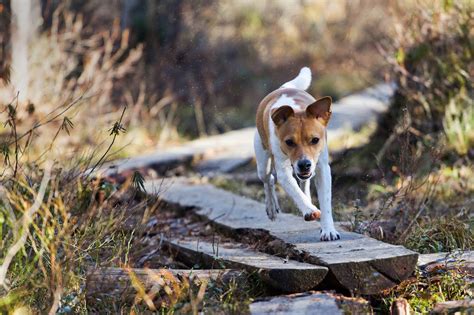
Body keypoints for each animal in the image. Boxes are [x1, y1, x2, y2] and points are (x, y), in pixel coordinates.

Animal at [254, 67, 338, 242]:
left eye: (315, 140)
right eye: (289, 142)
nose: (304, 164)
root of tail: (283, 88)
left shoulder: (322, 168)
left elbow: (325, 201)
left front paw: (328, 230)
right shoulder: (284, 172)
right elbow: (295, 191)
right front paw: (309, 210)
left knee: (303, 183)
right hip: (262, 162)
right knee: (268, 179)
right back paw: (271, 207)